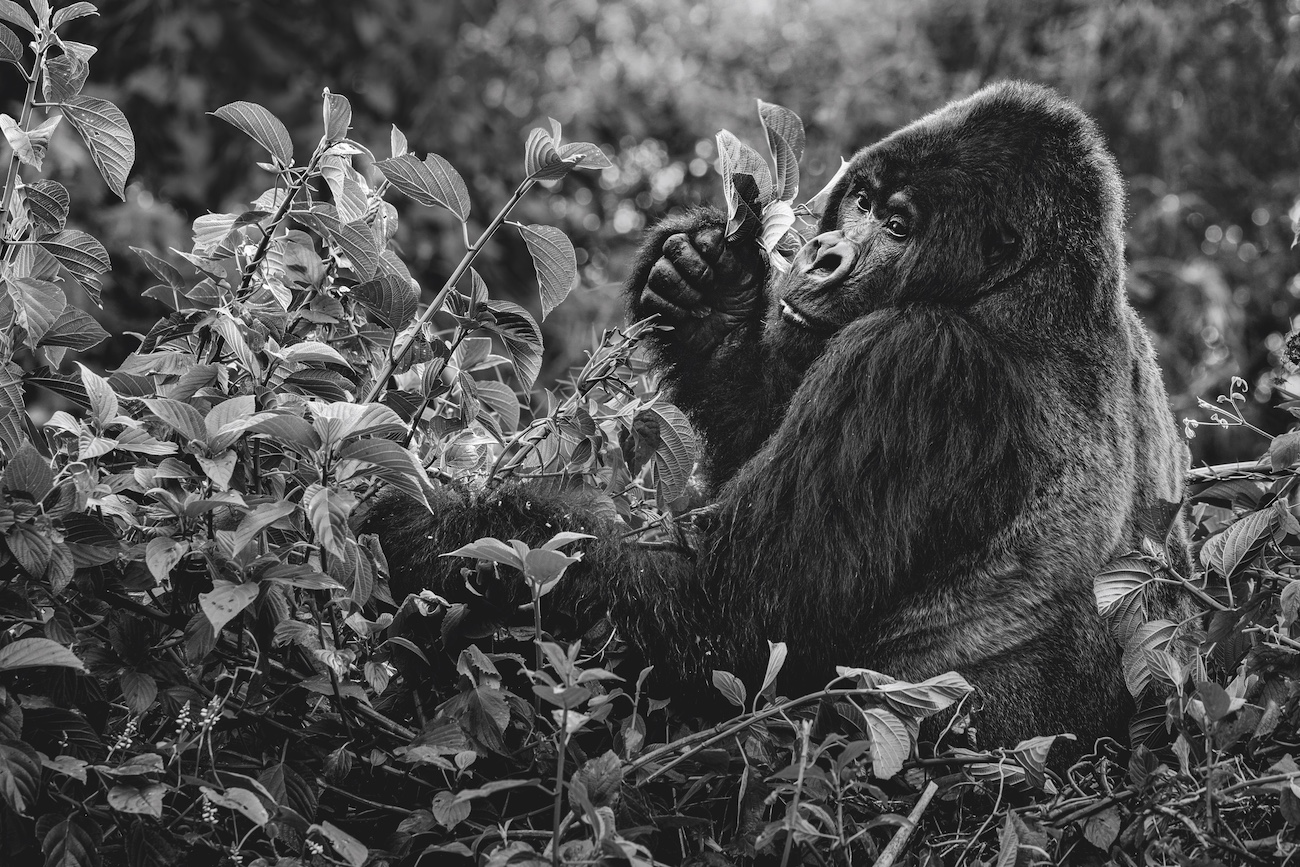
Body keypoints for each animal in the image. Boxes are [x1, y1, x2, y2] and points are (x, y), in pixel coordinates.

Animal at [366, 81, 1191, 752]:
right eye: (861, 201)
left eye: (898, 226)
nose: (822, 254)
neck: (1034, 284)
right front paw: (710, 294)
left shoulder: (913, 360)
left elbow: (728, 613)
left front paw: (442, 530)